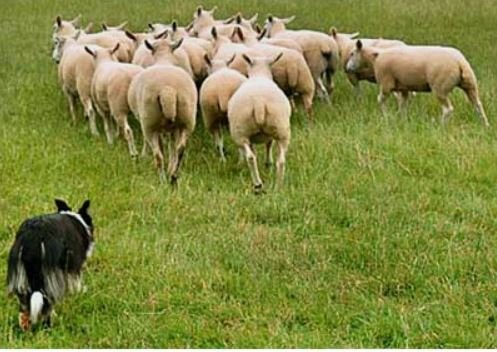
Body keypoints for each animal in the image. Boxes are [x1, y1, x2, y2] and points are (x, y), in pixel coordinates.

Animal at [6, 199, 94, 332]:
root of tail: (33, 236)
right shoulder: (73, 267)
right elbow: (75, 284)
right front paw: (79, 293)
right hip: (49, 275)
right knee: (46, 304)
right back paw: (48, 325)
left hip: (22, 275)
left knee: (24, 308)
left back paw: (26, 328)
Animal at [127, 37, 197, 183]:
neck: (164, 59)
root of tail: (167, 90)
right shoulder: (174, 128)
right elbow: (172, 146)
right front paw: (171, 167)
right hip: (187, 120)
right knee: (180, 148)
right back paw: (174, 175)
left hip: (150, 123)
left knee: (158, 154)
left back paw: (163, 179)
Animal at [228, 54, 292, 192]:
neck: (259, 74)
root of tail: (259, 103)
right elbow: (268, 145)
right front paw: (268, 164)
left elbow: (266, 145)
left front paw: (267, 164)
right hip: (282, 129)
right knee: (281, 160)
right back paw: (279, 187)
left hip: (240, 132)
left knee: (251, 157)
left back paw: (258, 184)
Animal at [344, 40, 488, 125]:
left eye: (352, 53)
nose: (347, 68)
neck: (375, 57)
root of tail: (460, 62)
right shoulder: (404, 88)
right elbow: (403, 104)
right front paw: (401, 120)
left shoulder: (386, 84)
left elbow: (380, 100)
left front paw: (386, 117)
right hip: (470, 84)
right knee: (477, 105)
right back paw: (485, 125)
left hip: (440, 87)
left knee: (448, 109)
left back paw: (440, 126)